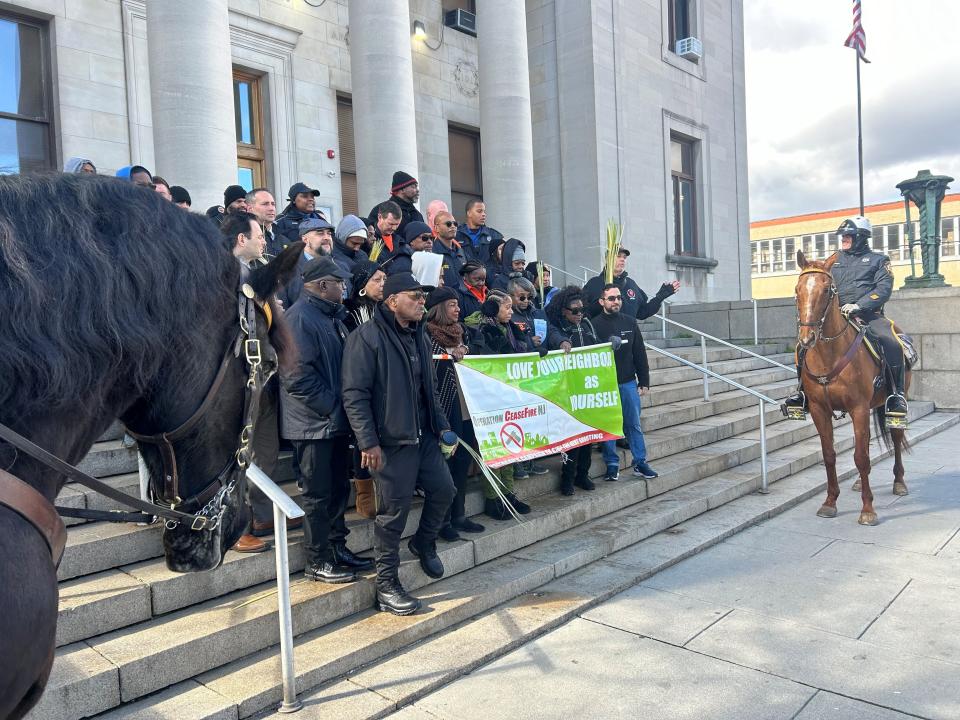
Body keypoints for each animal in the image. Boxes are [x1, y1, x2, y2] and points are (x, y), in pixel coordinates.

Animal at [796, 250, 908, 524]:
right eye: (797, 289)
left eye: (827, 289)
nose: (806, 339)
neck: (829, 355)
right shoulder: (820, 410)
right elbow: (830, 455)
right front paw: (829, 502)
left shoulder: (858, 407)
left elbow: (861, 457)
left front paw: (867, 509)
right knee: (864, 444)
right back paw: (859, 482)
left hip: (891, 404)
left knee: (895, 438)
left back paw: (899, 482)